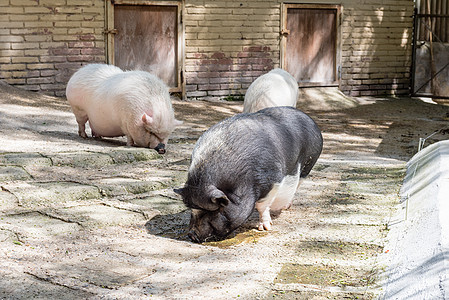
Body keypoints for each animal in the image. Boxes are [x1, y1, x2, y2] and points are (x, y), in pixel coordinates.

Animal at [175, 106, 322, 243]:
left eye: (214, 211)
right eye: (192, 210)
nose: (191, 235)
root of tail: (309, 119)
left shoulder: (272, 180)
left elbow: (262, 206)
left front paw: (265, 228)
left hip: (310, 162)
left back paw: (286, 206)